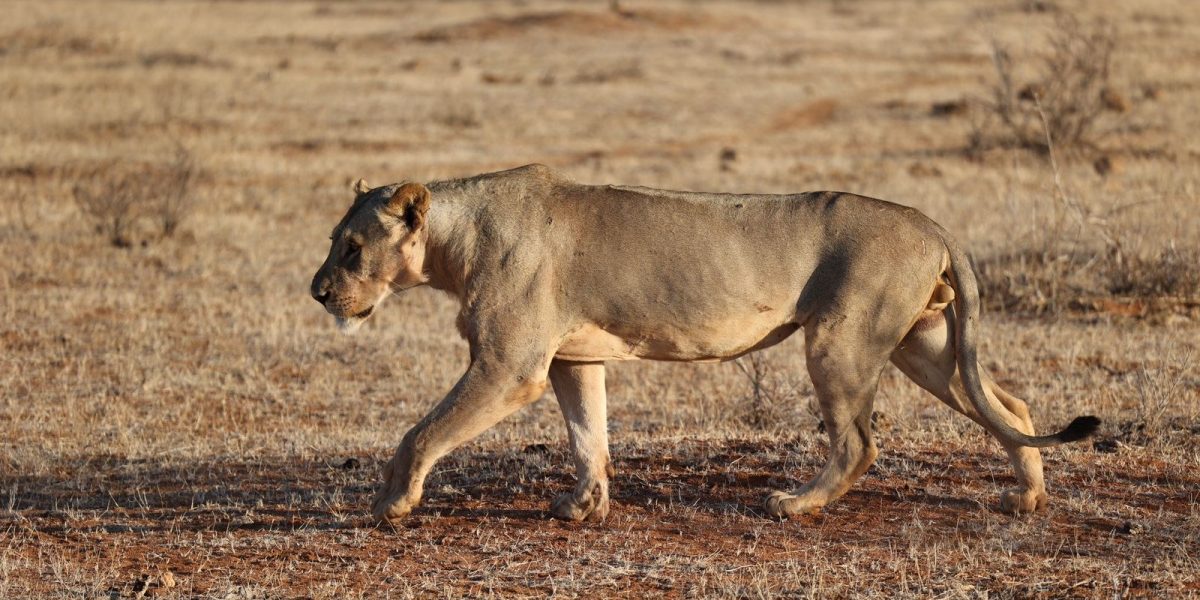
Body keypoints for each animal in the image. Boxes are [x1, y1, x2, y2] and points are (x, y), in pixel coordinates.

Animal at [310, 164, 1100, 525]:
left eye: (351, 248)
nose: (317, 292)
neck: (456, 243)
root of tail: (932, 222)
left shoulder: (510, 366)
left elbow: (420, 432)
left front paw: (393, 503)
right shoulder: (573, 359)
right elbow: (588, 437)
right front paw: (584, 507)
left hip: (841, 340)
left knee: (859, 442)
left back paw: (794, 504)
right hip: (924, 344)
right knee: (1014, 406)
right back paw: (1029, 496)